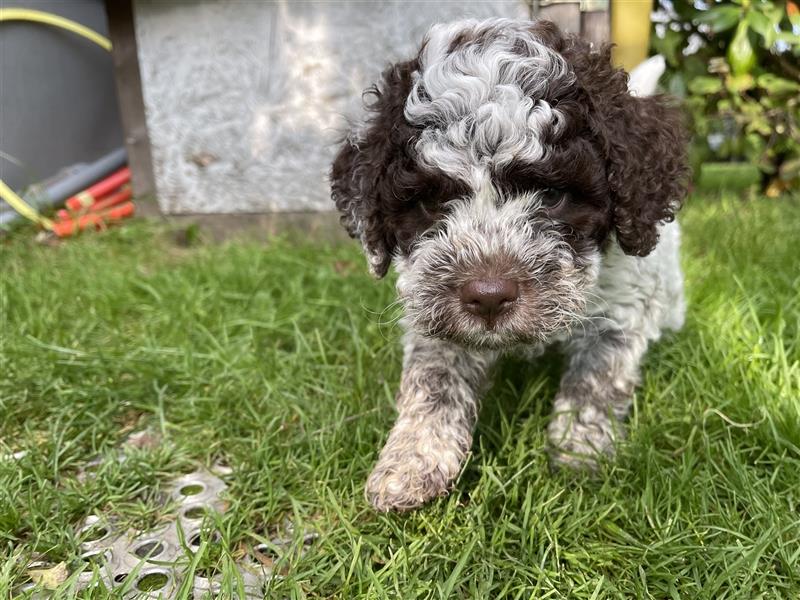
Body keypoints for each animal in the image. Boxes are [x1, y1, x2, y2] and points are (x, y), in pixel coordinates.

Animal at [328, 17, 692, 510]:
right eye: (430, 202)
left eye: (552, 195)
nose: (488, 297)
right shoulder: (434, 314)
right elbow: (433, 380)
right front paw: (411, 462)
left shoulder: (621, 310)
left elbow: (596, 380)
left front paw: (579, 450)